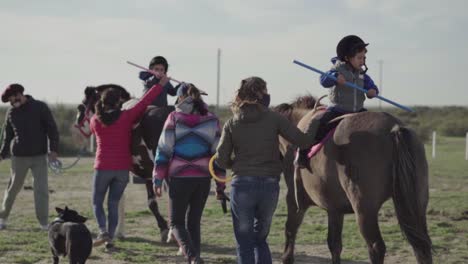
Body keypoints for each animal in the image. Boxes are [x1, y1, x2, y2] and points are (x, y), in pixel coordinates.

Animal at [75, 84, 174, 241]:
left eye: (82, 104)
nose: (77, 121)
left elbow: (119, 199)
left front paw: (118, 232)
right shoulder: (147, 173)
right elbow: (151, 203)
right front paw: (163, 228)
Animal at [276, 96, 434, 264]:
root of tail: (394, 128)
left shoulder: (295, 200)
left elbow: (290, 230)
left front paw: (286, 257)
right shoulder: (335, 210)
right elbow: (334, 244)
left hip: (364, 209)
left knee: (376, 247)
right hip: (417, 205)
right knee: (422, 247)